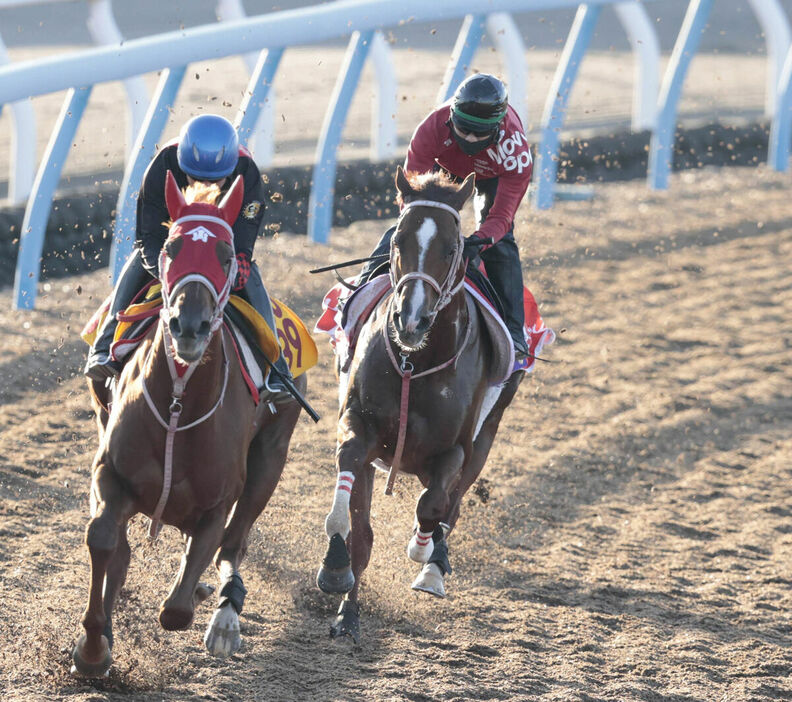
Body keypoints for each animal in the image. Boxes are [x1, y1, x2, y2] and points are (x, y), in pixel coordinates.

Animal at [72, 173, 306, 680]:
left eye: (225, 253)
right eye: (172, 247)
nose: (189, 326)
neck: (179, 400)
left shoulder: (218, 502)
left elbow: (177, 607)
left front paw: (199, 599)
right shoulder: (111, 474)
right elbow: (104, 540)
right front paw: (94, 649)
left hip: (271, 458)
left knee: (233, 546)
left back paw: (224, 617)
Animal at [316, 168, 524, 648]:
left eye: (451, 247)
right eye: (398, 240)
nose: (410, 320)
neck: (418, 361)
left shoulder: (456, 449)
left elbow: (433, 506)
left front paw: (422, 550)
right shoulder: (358, 427)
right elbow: (356, 524)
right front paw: (338, 576)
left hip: (487, 435)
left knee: (453, 503)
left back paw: (433, 564)